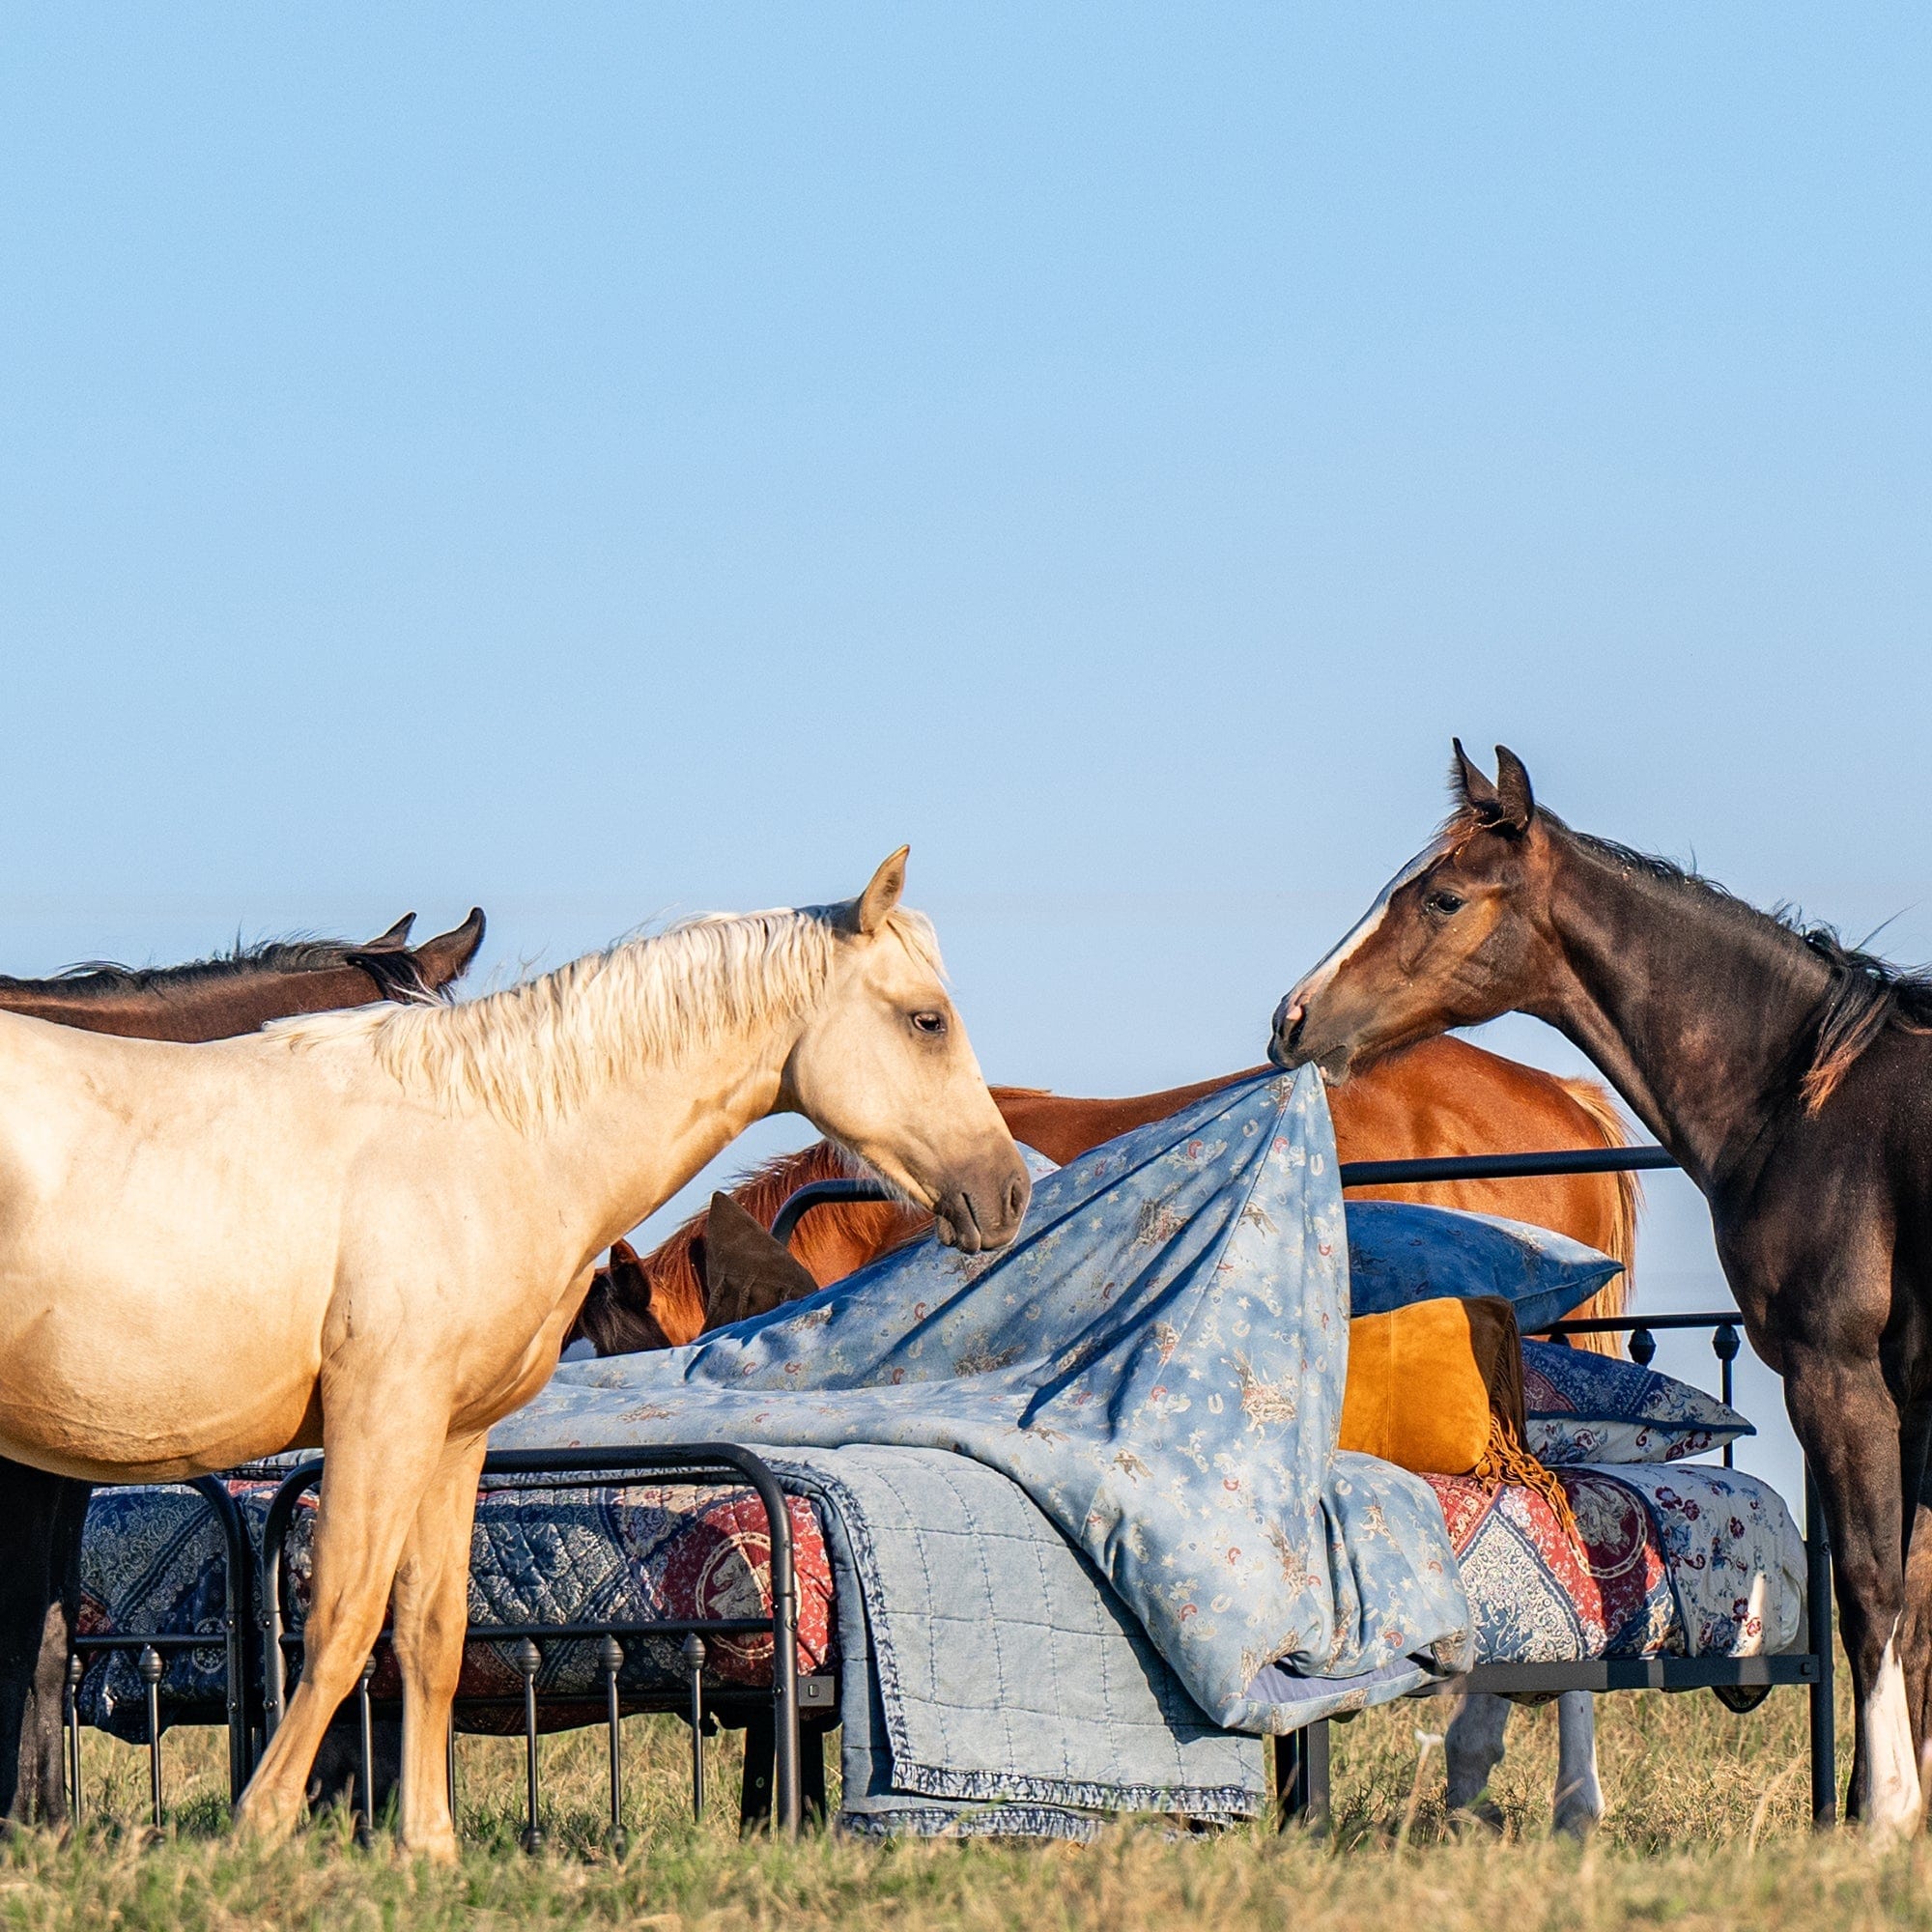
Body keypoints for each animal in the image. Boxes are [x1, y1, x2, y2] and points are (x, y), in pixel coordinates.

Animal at [1267, 742, 1932, 1839]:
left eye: (1442, 897)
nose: (1292, 1019)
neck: (1808, 1100)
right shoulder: (1910, 1394)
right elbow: (1911, 1596)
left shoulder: (1837, 1377)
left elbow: (1874, 1586)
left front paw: (1881, 1814)